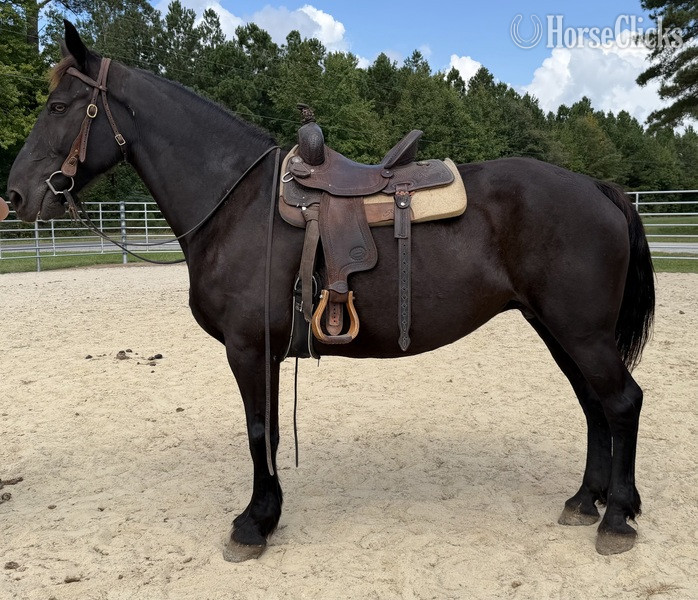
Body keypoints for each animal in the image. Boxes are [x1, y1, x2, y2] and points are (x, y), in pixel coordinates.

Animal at [7, 21, 655, 560]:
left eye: (59, 106)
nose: (15, 195)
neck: (240, 204)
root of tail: (599, 188)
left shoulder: (250, 348)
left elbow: (260, 432)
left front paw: (254, 524)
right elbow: (264, 432)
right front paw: (265, 517)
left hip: (579, 331)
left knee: (621, 402)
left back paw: (616, 518)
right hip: (557, 329)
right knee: (594, 405)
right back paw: (584, 501)